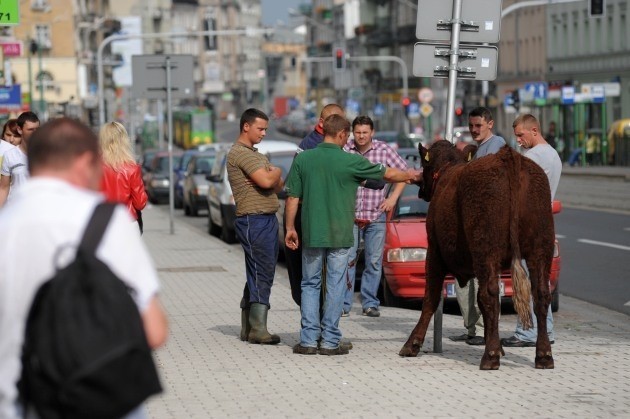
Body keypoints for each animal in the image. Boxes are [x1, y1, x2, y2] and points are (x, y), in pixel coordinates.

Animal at [402, 142, 556, 370]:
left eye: (424, 167)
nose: (420, 189)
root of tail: (507, 156)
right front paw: (498, 346)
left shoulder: (434, 252)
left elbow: (431, 298)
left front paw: (412, 343)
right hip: (541, 248)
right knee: (541, 295)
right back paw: (544, 355)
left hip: (486, 248)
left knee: (490, 295)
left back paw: (490, 356)